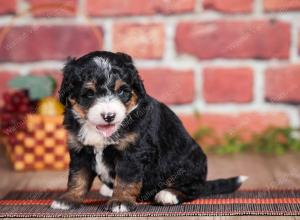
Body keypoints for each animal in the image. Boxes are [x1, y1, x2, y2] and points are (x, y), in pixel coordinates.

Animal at [51, 50, 247, 212]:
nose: (109, 116)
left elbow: (126, 179)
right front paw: (68, 199)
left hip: (188, 163)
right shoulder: (79, 150)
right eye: (89, 93)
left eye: (122, 91)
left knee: (194, 189)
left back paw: (168, 194)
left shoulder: (133, 151)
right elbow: (77, 177)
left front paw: (120, 201)